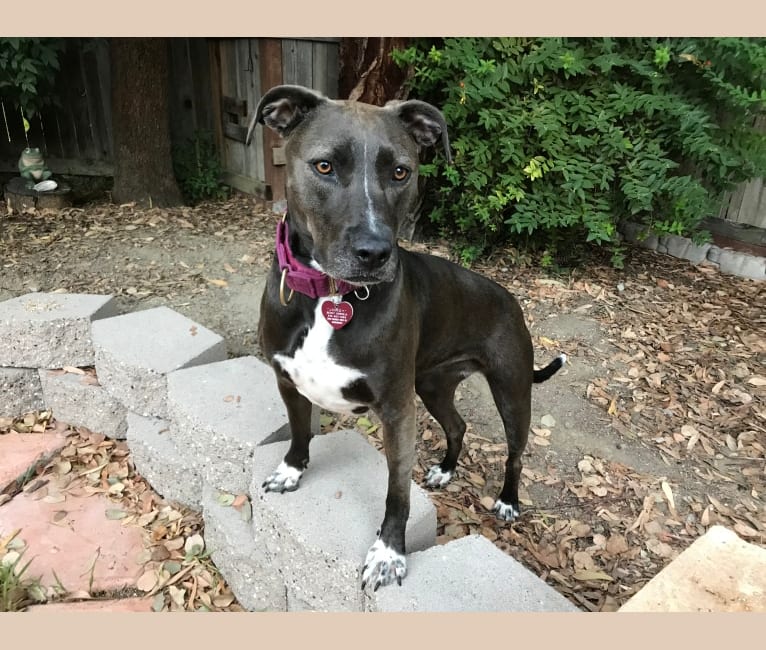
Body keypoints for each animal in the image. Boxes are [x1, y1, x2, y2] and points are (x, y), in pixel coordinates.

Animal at [246, 83, 564, 588]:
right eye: (324, 166)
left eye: (401, 171)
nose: (375, 253)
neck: (329, 296)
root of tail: (510, 300)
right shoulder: (287, 380)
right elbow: (298, 432)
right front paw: (291, 470)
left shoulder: (397, 410)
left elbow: (397, 490)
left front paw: (388, 552)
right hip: (433, 385)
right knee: (457, 425)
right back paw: (445, 471)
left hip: (512, 392)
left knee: (515, 453)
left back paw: (508, 500)